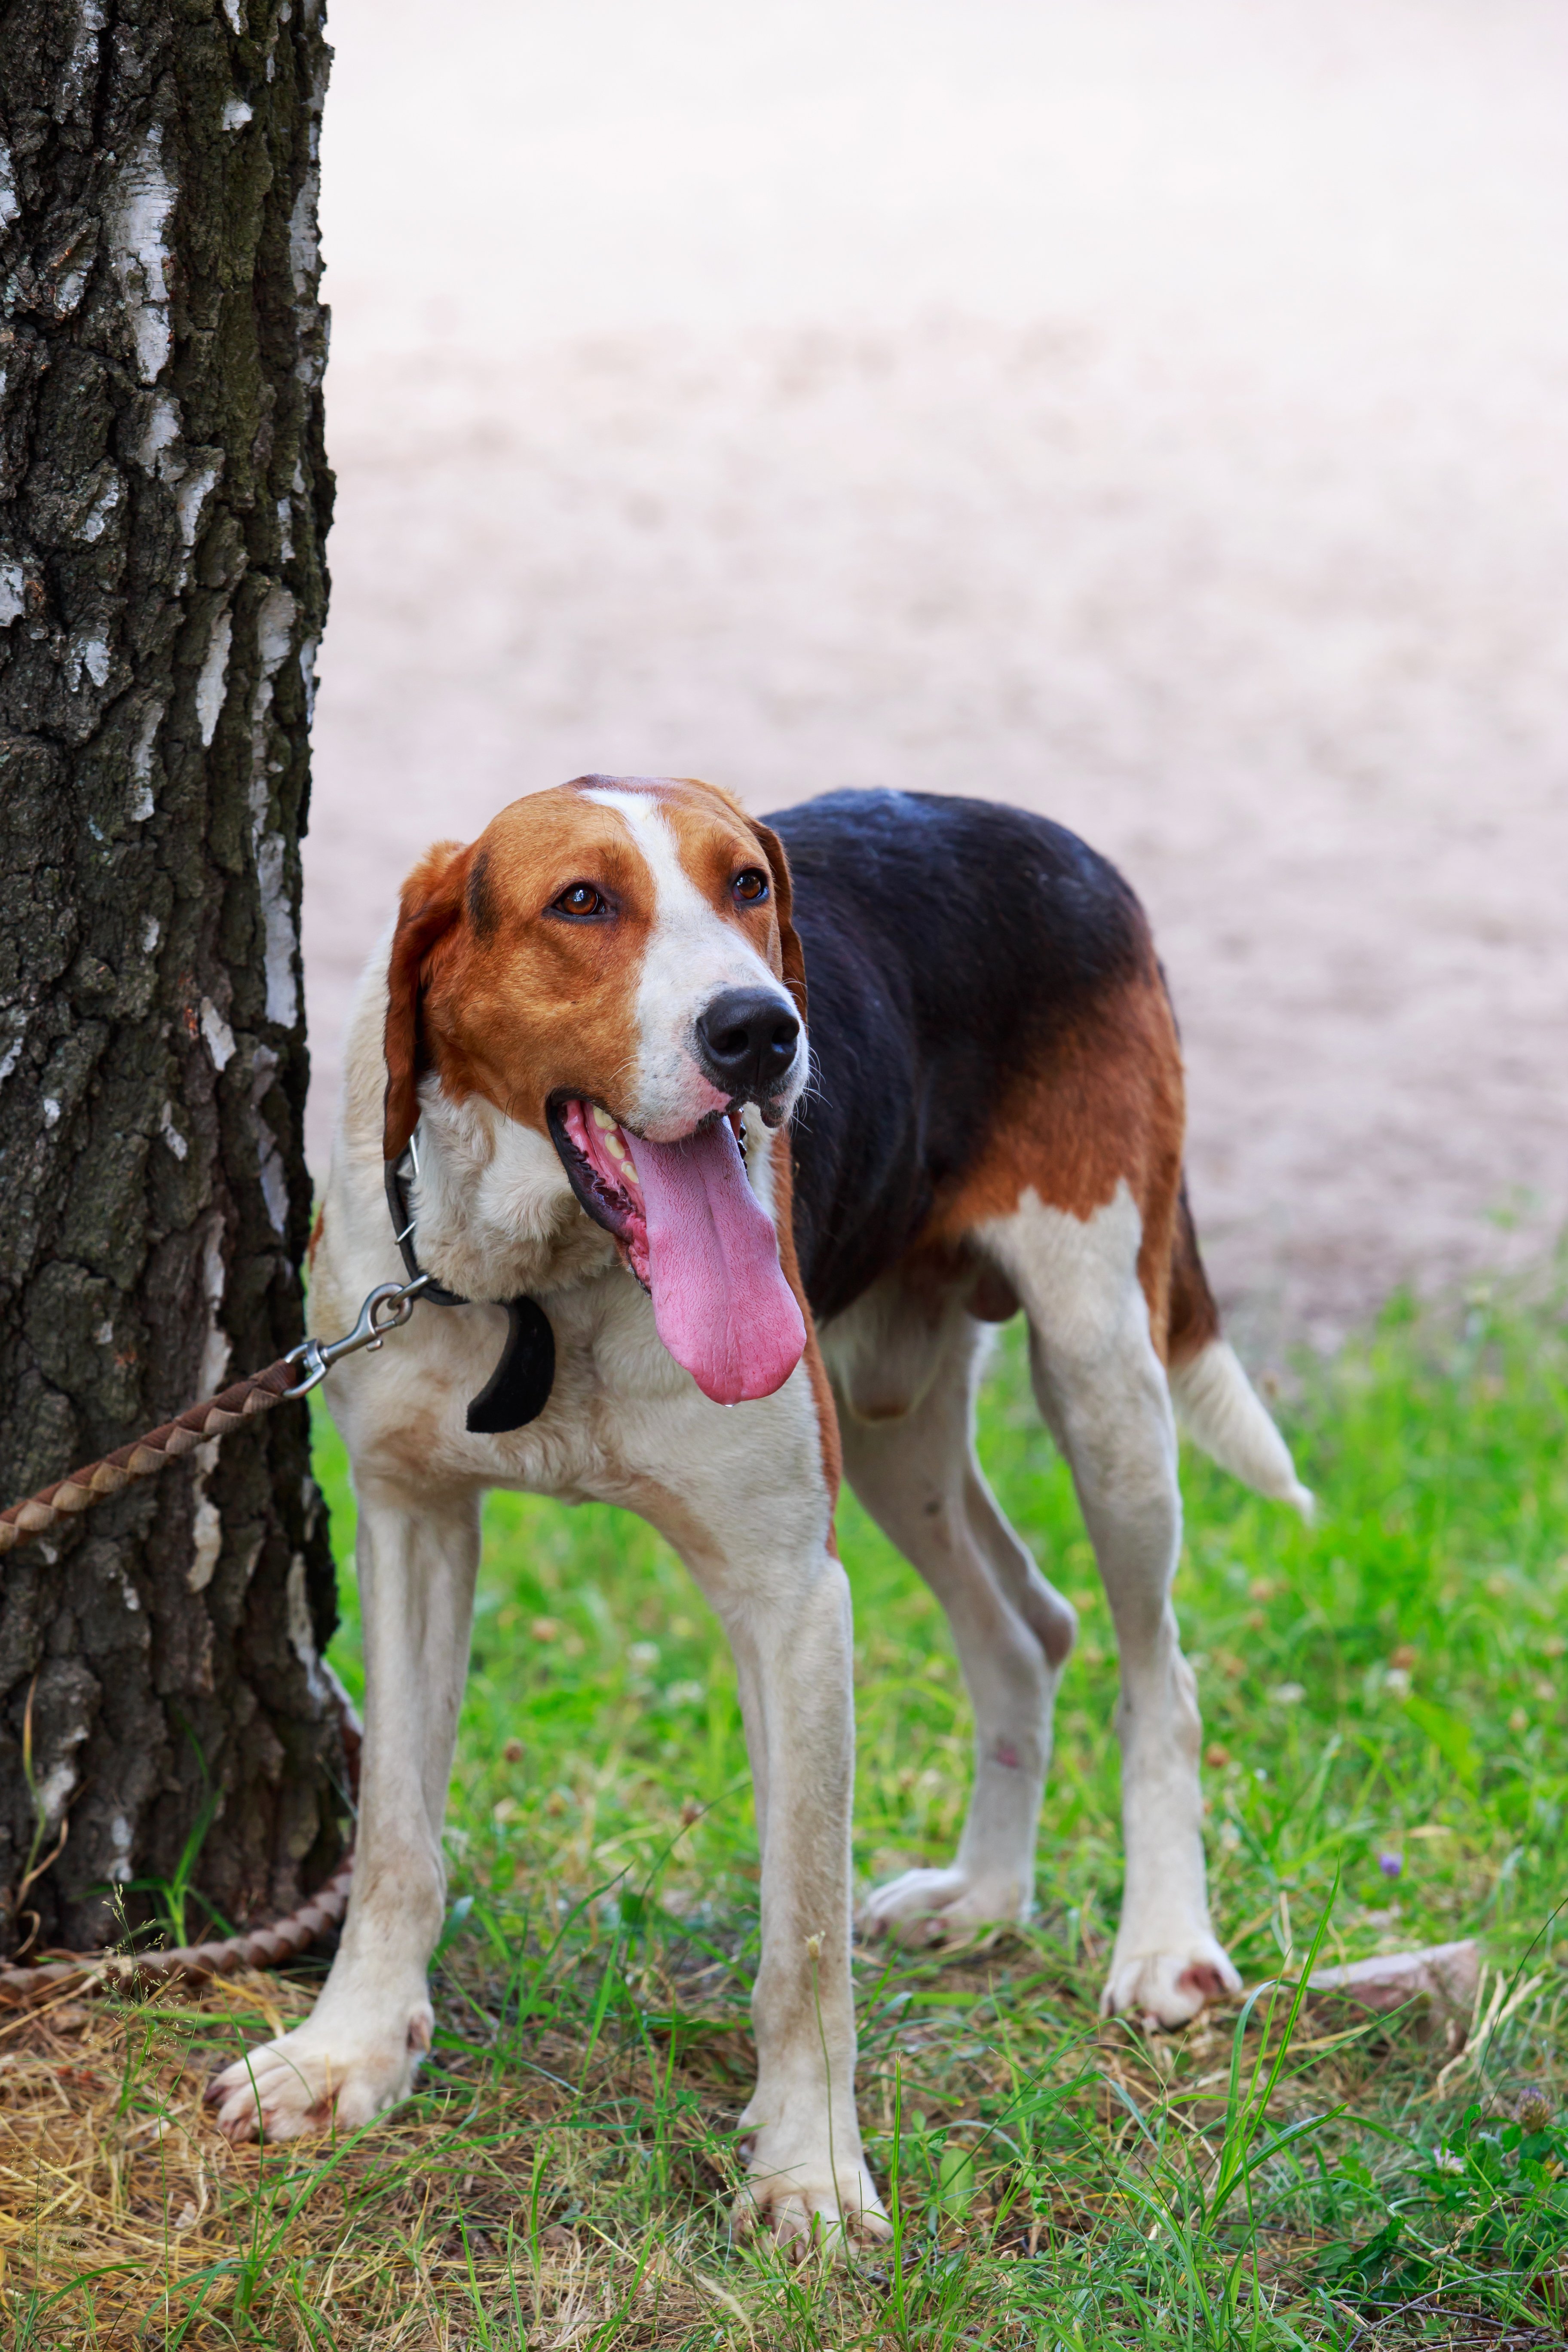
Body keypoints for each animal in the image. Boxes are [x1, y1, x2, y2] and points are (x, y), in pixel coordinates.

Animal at [208, 776, 1316, 2239]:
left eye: (746, 885)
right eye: (581, 902)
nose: (758, 1031)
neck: (550, 1289)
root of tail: (1045, 832)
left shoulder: (793, 1595)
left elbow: (802, 1930)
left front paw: (812, 2171)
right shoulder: (410, 1526)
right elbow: (395, 1835)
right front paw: (350, 2053)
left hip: (1101, 1371)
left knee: (1159, 1676)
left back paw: (1167, 1945)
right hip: (897, 1428)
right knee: (1027, 1628)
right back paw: (986, 1898)